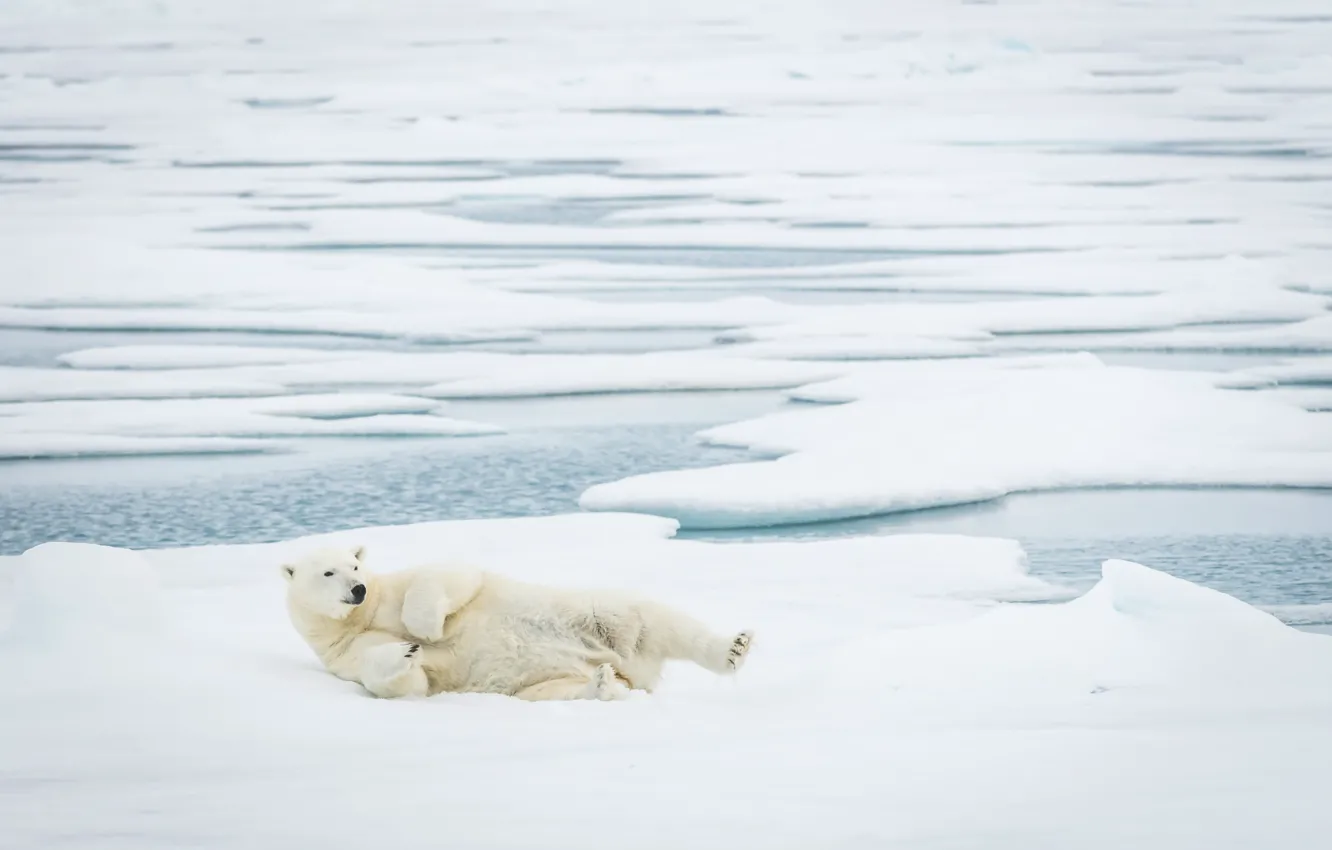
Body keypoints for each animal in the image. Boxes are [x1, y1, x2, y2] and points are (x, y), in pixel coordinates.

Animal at [282, 548, 756, 703]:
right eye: (328, 572)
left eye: (355, 564)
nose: (358, 588)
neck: (362, 617)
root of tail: (636, 672)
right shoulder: (343, 654)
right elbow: (399, 680)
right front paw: (407, 651)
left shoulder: (398, 587)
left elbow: (450, 576)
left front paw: (424, 632)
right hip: (541, 681)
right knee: (554, 692)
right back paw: (601, 685)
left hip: (597, 619)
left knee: (650, 620)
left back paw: (733, 648)